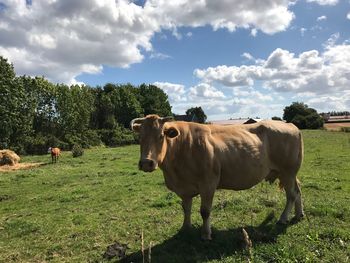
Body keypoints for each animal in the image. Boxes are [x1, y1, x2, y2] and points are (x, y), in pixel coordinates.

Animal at [131, 114, 304, 240]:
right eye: (140, 138)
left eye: (161, 136)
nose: (146, 163)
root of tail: (290, 125)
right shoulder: (184, 188)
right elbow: (186, 209)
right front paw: (185, 228)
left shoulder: (208, 183)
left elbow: (205, 211)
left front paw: (206, 234)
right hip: (288, 173)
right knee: (298, 191)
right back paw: (299, 215)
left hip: (288, 171)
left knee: (291, 194)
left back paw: (283, 218)